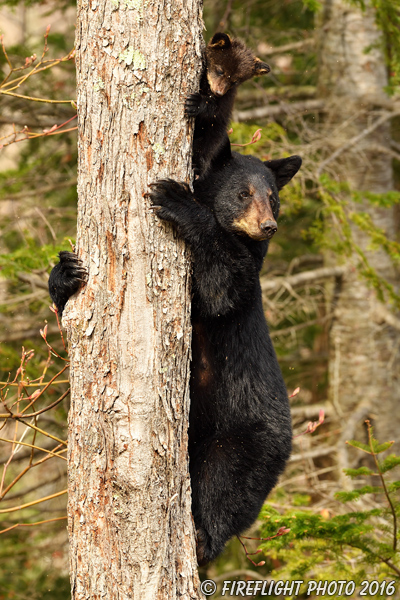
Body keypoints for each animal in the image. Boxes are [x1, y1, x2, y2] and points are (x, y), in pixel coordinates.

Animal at [187, 31, 268, 176]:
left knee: (206, 147)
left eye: (235, 81)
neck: (207, 88)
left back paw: (196, 168)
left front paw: (195, 103)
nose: (218, 92)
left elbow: (216, 110)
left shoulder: (228, 98)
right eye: (220, 71)